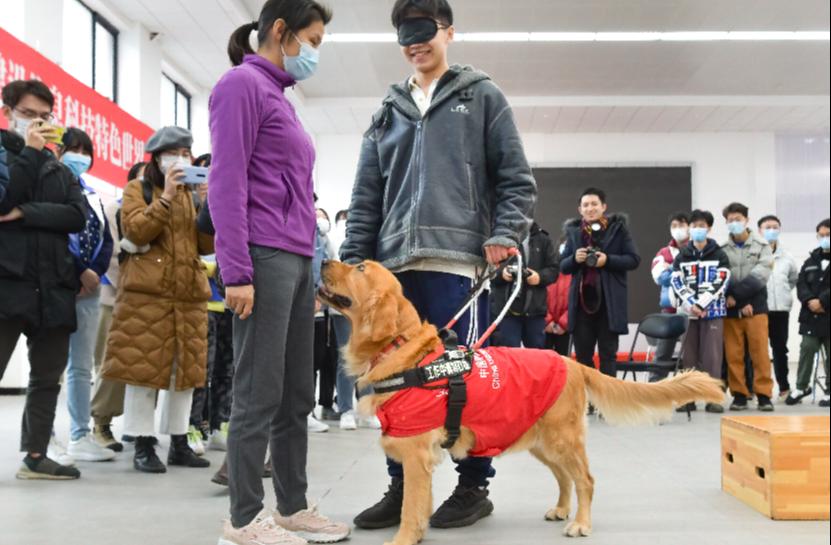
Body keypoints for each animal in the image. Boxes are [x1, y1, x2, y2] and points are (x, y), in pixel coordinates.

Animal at [317, 260, 724, 545]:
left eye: (360, 267)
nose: (322, 261)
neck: (403, 353)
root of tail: (571, 362)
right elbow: (416, 504)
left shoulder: (417, 454)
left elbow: (410, 507)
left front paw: (402, 538)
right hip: (542, 443)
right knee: (565, 479)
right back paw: (561, 510)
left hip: (563, 440)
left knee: (586, 480)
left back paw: (581, 523)